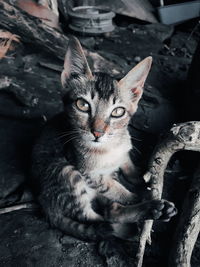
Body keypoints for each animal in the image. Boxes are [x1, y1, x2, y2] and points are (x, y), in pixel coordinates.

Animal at [31, 36, 177, 242]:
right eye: (82, 105)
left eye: (118, 112)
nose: (98, 132)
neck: (110, 146)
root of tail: (43, 201)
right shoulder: (89, 174)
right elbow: (116, 190)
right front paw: (139, 197)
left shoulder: (124, 153)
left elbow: (128, 166)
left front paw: (140, 177)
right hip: (66, 172)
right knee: (100, 220)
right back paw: (140, 220)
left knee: (112, 210)